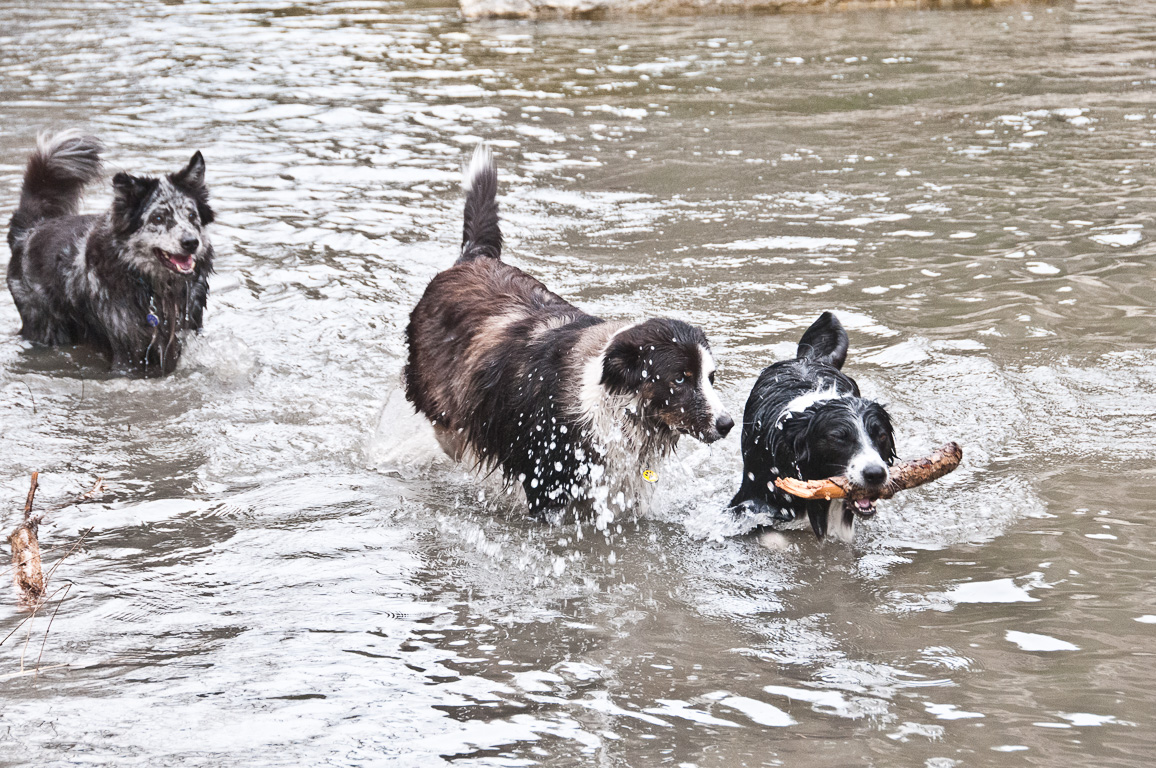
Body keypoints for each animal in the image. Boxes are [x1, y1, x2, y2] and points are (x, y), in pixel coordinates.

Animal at [6, 133, 213, 377]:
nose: (191, 243)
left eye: (191, 215)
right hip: (45, 327)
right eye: (158, 218)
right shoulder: (128, 351)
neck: (158, 290)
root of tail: (30, 229)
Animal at [404, 145, 730, 522]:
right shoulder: (548, 481)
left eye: (710, 377)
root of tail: (473, 257)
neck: (617, 406)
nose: (727, 424)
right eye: (680, 378)